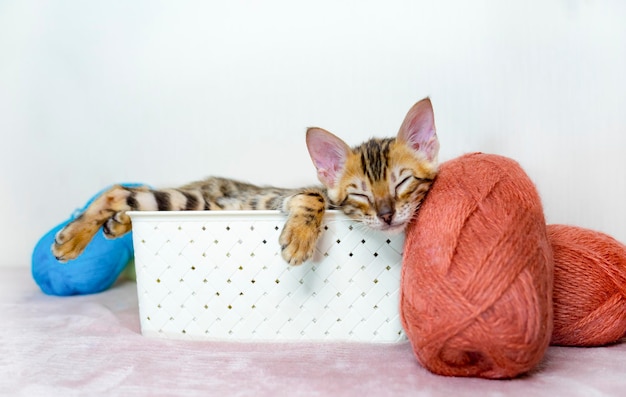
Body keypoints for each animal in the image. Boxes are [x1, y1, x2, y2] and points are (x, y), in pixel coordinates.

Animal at [51, 98, 436, 266]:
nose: (387, 215)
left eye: (402, 182)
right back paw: (71, 240)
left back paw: (116, 225)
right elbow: (313, 196)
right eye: (360, 193)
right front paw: (299, 240)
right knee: (118, 192)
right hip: (191, 202)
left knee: (133, 196)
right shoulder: (288, 195)